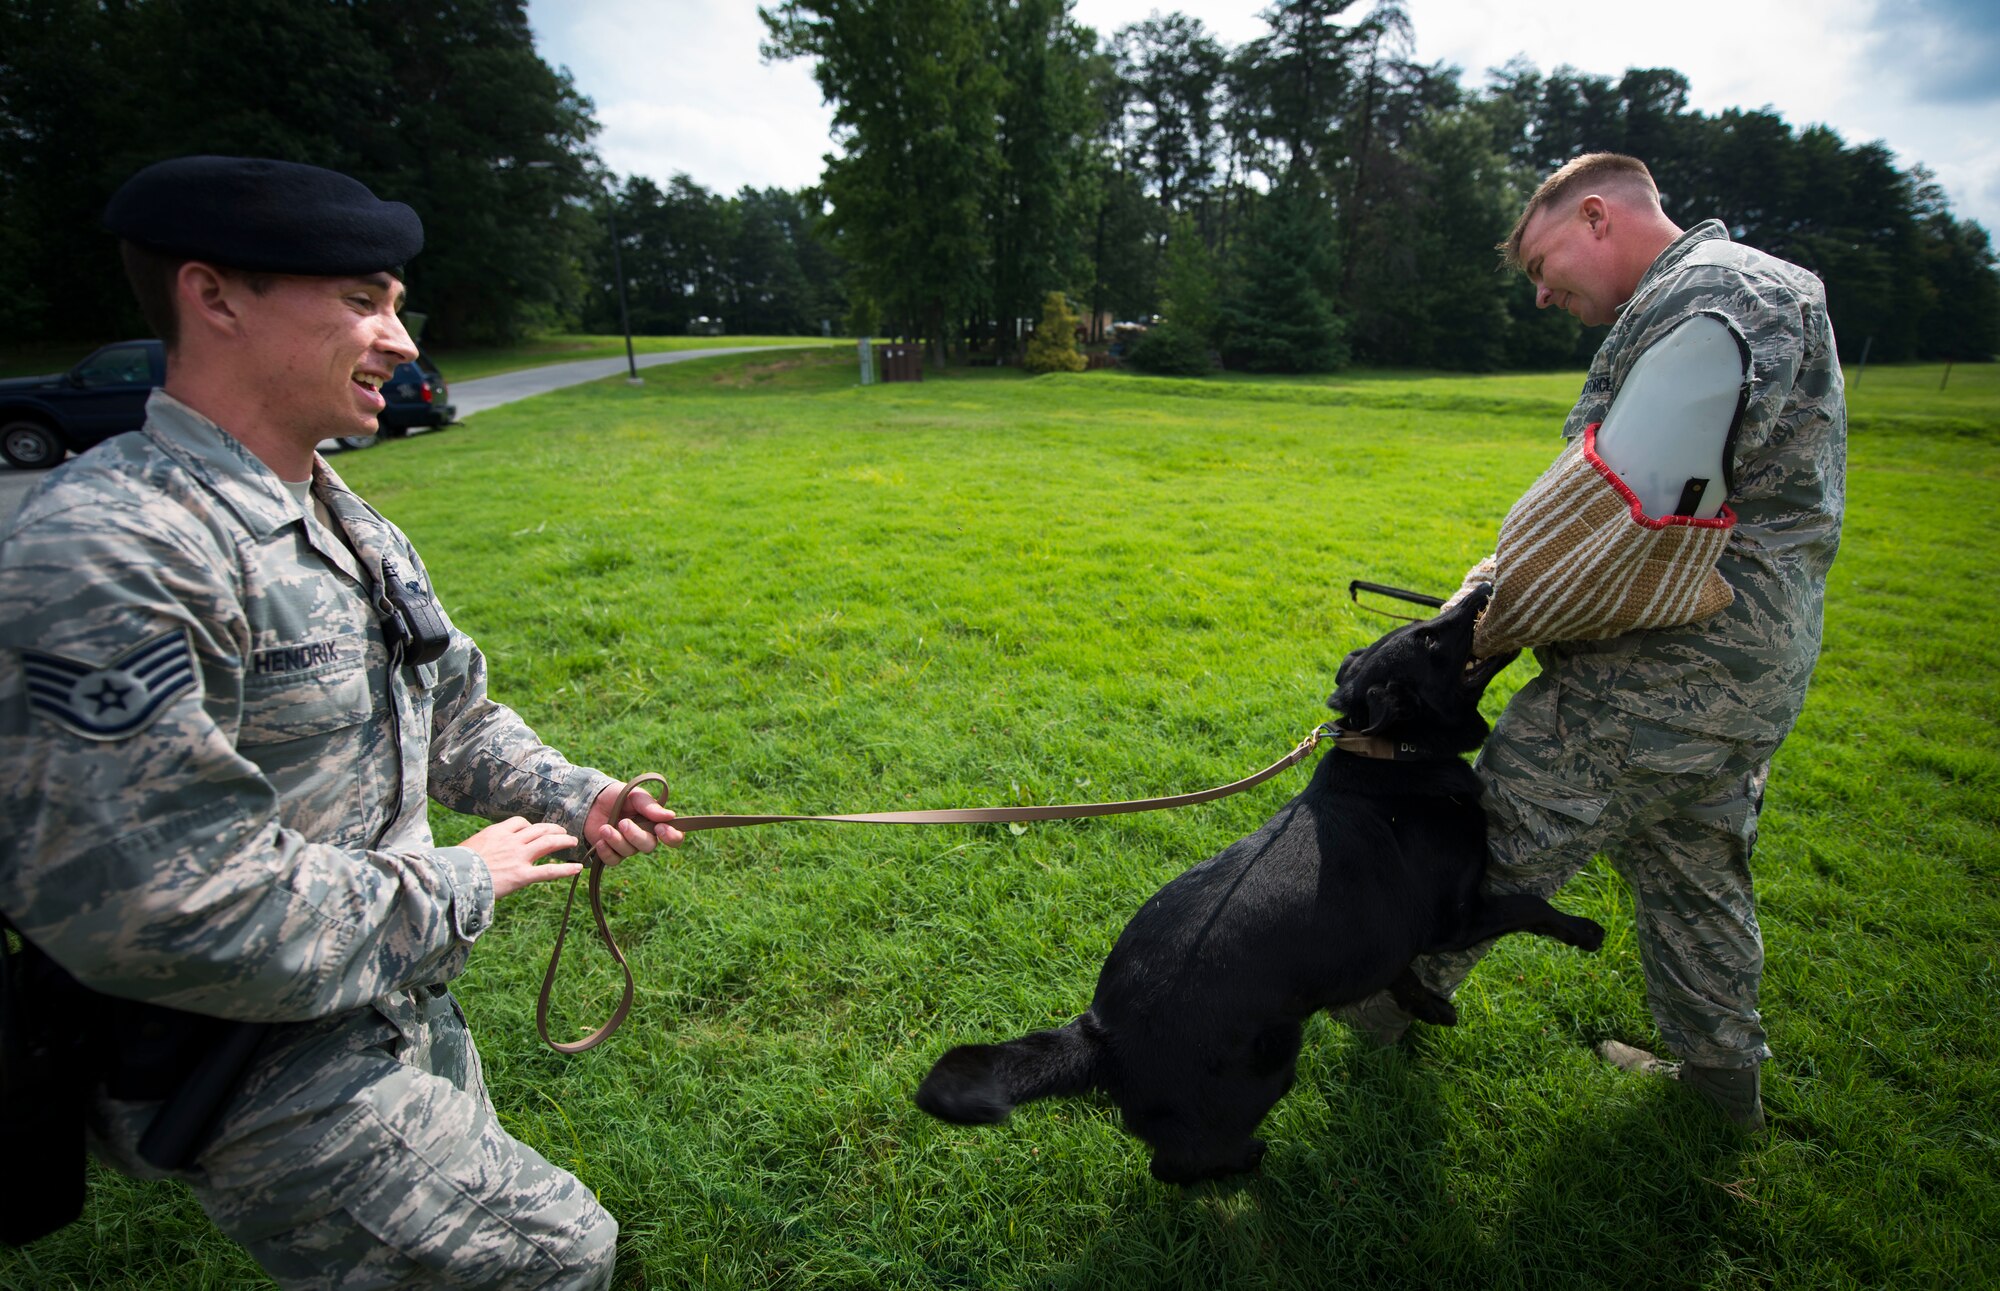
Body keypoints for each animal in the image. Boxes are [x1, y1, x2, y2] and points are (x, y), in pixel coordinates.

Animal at [916, 591, 1600, 1191]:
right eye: (1431, 639)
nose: (1484, 589)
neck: (1393, 754)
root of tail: (1104, 1033)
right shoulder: (1453, 917)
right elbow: (1529, 905)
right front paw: (1585, 932)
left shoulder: (1389, 937)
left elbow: (1398, 971)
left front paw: (1430, 1006)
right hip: (1266, 1067)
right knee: (1175, 1164)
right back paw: (1247, 1163)